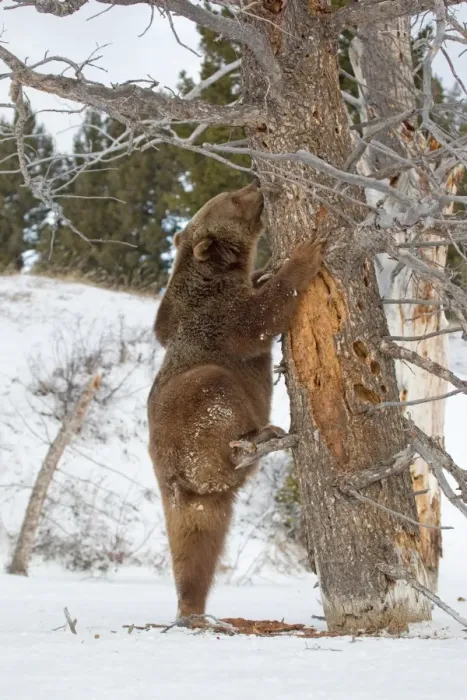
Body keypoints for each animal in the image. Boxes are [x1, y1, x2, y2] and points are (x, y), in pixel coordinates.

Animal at [147, 181, 324, 621]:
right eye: (232, 198)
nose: (257, 183)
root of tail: (176, 485)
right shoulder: (217, 315)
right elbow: (260, 318)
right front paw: (304, 253)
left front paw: (266, 270)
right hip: (192, 416)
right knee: (215, 393)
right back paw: (258, 438)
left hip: (206, 501)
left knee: (199, 544)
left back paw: (191, 602)